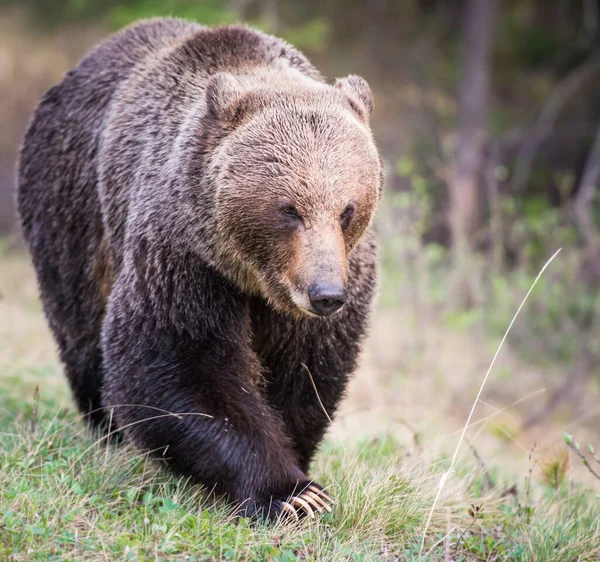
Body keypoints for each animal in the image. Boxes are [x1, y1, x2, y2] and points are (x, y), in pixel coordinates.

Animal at [16, 18, 382, 520]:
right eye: (289, 209)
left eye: (347, 209)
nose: (325, 293)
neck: (254, 275)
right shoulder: (184, 257)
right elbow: (178, 362)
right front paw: (291, 493)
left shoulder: (336, 280)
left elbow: (308, 371)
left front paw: (300, 470)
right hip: (71, 209)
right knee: (82, 329)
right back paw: (108, 430)